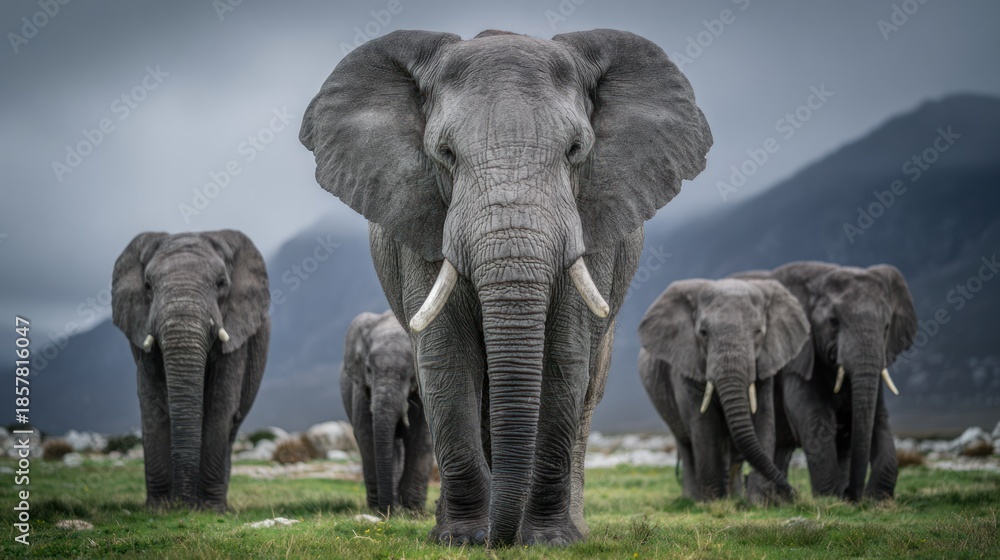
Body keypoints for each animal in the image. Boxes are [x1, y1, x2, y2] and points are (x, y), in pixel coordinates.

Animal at [111, 230, 270, 512]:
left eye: (221, 283)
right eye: (148, 286)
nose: (183, 504)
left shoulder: (237, 332)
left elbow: (221, 405)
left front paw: (208, 509)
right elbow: (152, 403)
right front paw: (160, 509)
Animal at [341, 310, 433, 515]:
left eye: (411, 374)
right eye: (368, 369)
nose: (389, 511)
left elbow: (421, 437)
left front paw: (412, 512)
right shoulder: (361, 387)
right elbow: (366, 433)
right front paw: (380, 509)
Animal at [638, 279, 809, 504]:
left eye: (758, 332)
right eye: (703, 333)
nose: (794, 493)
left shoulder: (765, 363)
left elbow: (763, 419)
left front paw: (757, 503)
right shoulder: (687, 361)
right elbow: (704, 425)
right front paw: (711, 503)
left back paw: (733, 496)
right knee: (686, 445)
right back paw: (693, 498)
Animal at [733, 262, 917, 501]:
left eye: (886, 327)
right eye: (834, 322)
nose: (852, 495)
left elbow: (878, 417)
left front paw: (876, 499)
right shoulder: (798, 358)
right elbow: (816, 417)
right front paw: (830, 498)